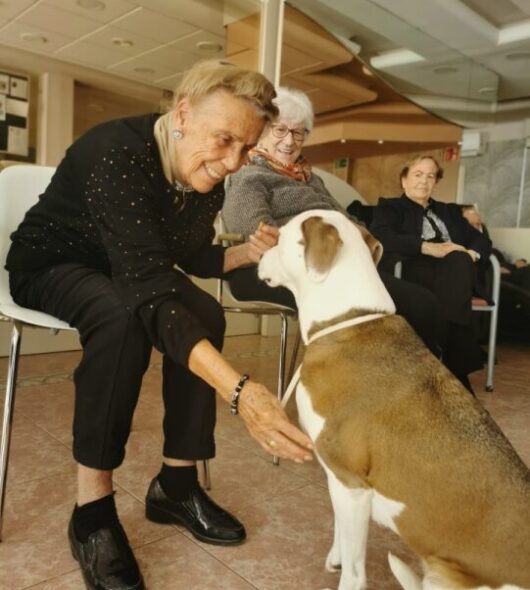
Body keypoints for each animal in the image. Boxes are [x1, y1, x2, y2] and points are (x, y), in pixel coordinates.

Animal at [256, 212, 528, 590]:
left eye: (279, 238)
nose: (256, 254)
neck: (346, 321)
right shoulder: (340, 481)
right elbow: (341, 532)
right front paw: (336, 556)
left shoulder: (351, 484)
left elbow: (355, 572)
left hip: (445, 575)